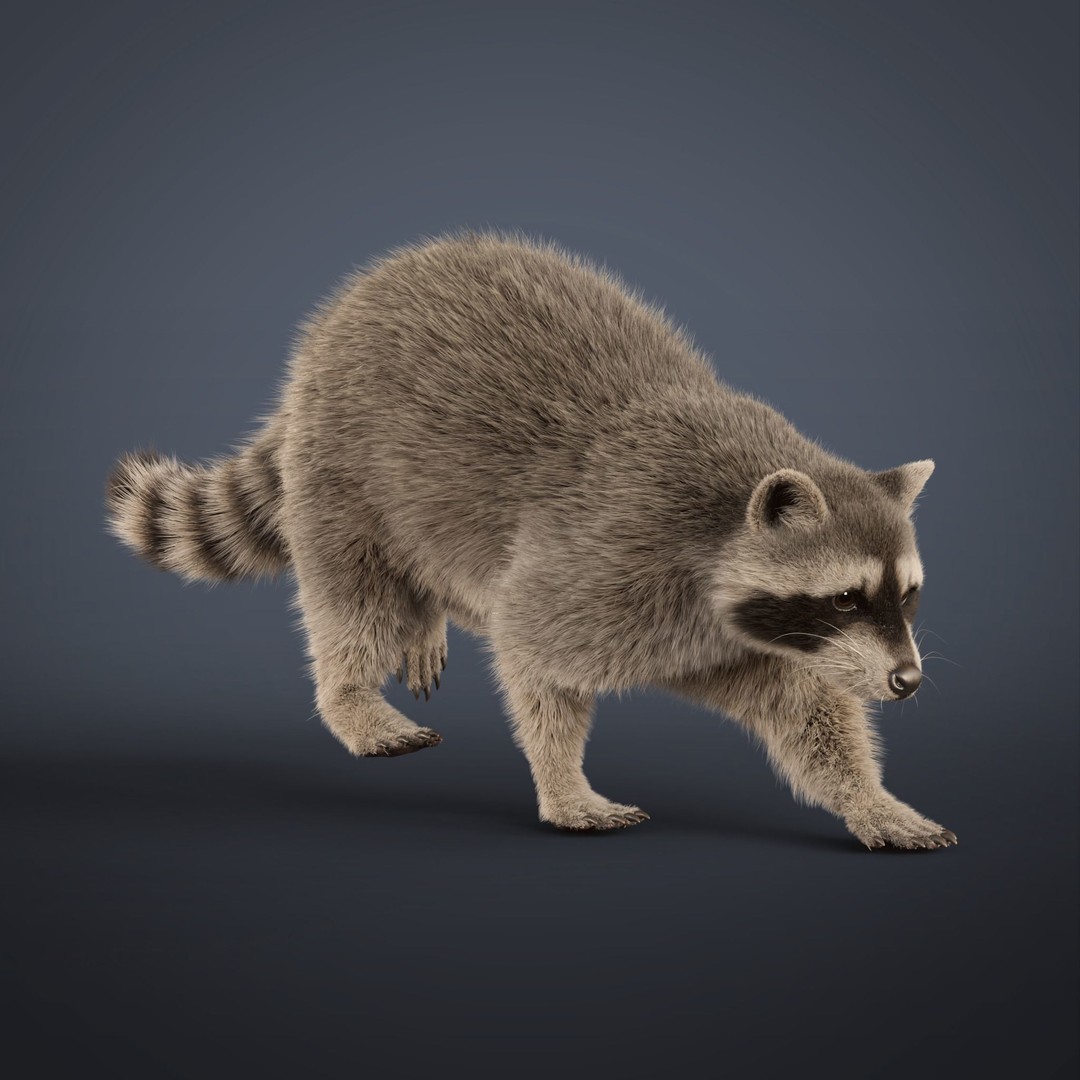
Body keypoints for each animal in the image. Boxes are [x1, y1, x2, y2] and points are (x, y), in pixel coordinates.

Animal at [107, 231, 956, 851]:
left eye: (909, 594)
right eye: (845, 597)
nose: (909, 681)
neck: (723, 526)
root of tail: (344, 310)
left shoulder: (738, 634)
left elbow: (809, 711)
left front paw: (869, 797)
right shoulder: (610, 553)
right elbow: (532, 653)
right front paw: (563, 782)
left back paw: (425, 622)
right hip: (345, 464)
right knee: (356, 596)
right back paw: (352, 698)